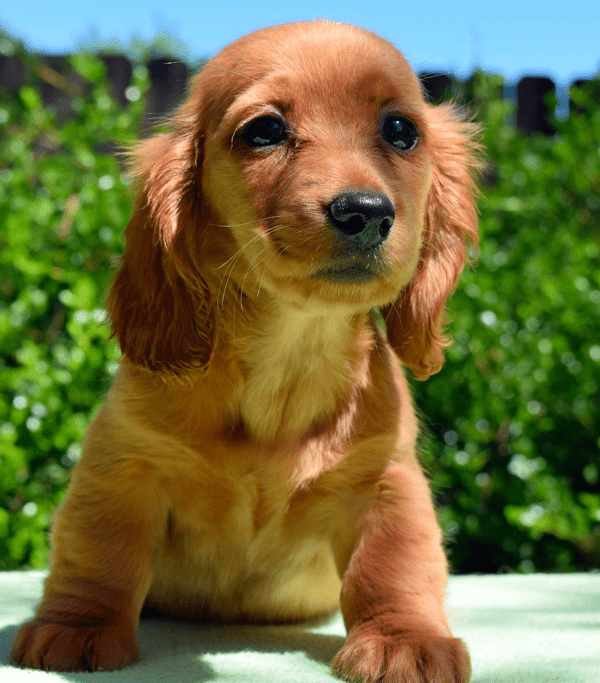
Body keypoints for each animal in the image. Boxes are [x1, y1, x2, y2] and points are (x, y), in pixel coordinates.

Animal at [11, 18, 480, 680]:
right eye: (264, 131)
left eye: (401, 130)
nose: (364, 211)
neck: (287, 355)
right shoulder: (123, 466)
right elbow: (99, 552)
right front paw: (78, 626)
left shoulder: (385, 482)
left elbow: (392, 568)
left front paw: (403, 640)